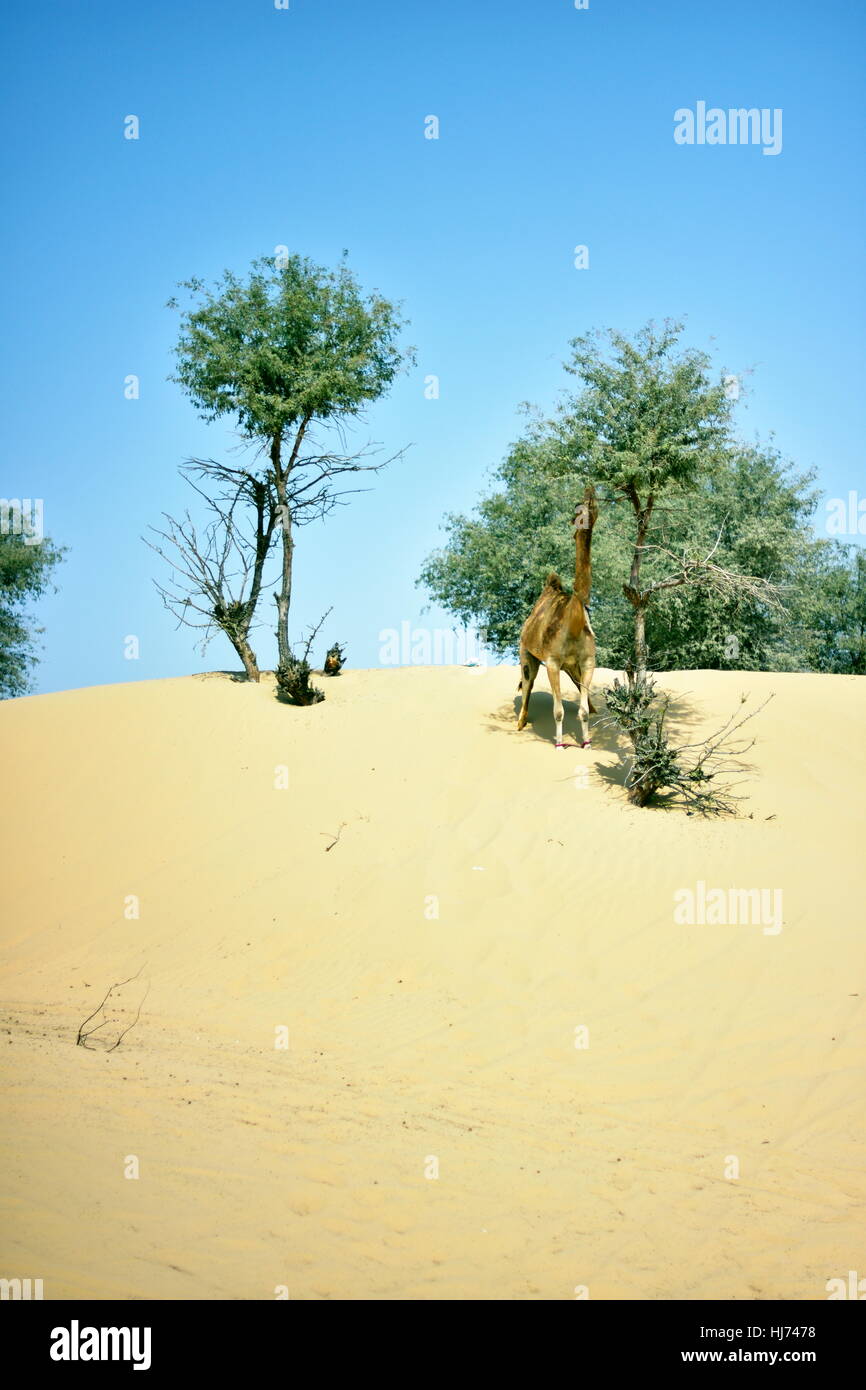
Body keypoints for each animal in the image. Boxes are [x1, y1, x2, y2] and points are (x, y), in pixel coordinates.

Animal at [514, 489, 594, 750]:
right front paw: (559, 744)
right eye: (576, 513)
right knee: (527, 682)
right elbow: (558, 711)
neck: (574, 621)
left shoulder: (587, 662)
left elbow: (583, 711)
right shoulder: (552, 662)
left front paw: (587, 743)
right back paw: (520, 723)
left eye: (593, 508)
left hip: (571, 667)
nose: (585, 521)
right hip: (526, 652)